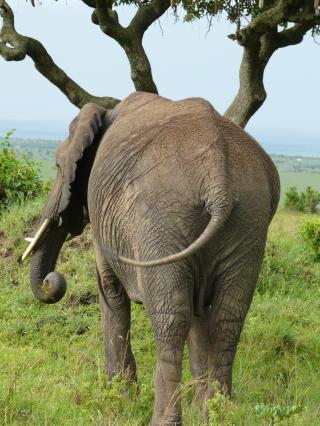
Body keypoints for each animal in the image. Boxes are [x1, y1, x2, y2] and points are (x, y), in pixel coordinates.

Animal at [22, 91, 278, 424]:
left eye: (56, 166)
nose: (52, 282)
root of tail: (219, 179)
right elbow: (201, 314)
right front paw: (196, 409)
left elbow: (111, 294)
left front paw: (121, 399)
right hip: (249, 217)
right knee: (226, 316)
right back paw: (218, 415)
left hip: (162, 219)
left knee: (171, 319)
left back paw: (165, 418)